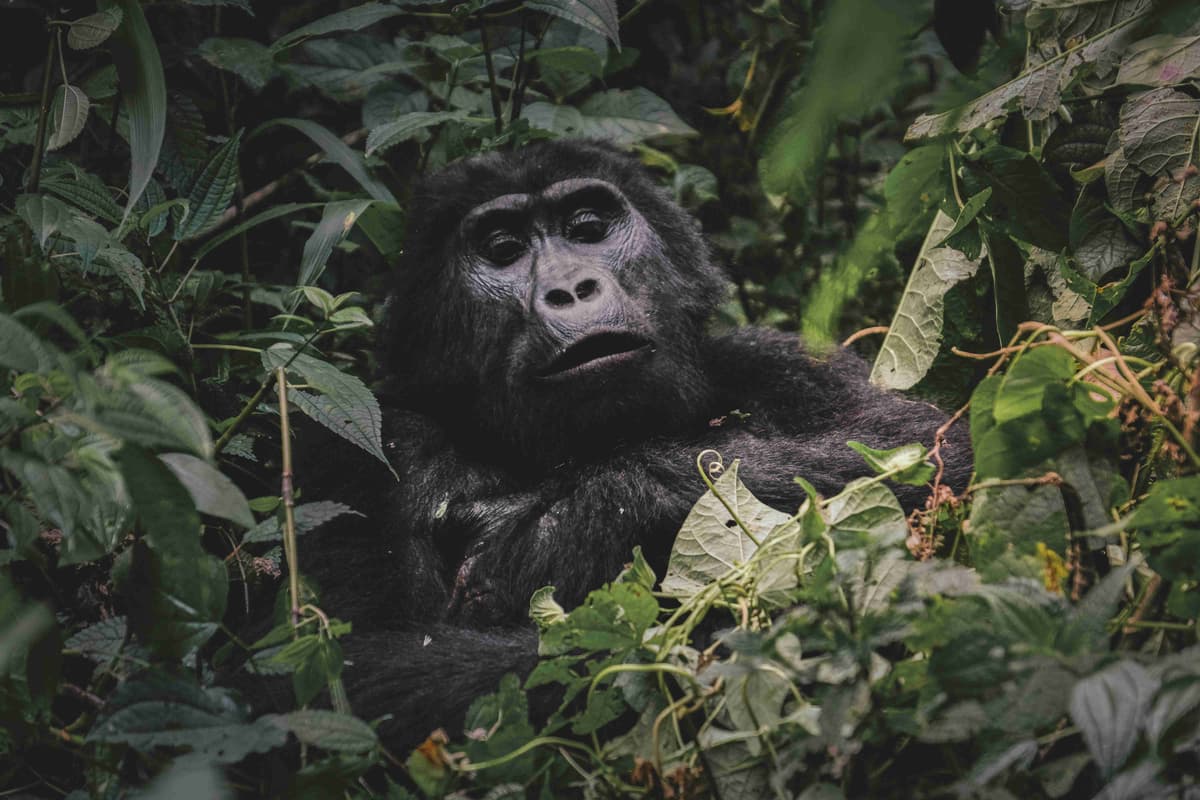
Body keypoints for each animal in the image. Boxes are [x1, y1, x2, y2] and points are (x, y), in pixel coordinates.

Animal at [302, 139, 974, 753]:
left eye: (589, 230)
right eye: (502, 251)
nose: (572, 289)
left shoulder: (784, 360)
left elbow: (921, 451)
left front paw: (576, 523)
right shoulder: (365, 448)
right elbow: (345, 676)